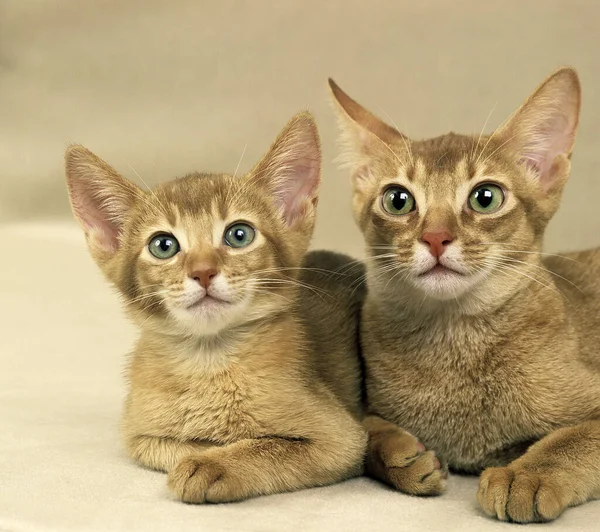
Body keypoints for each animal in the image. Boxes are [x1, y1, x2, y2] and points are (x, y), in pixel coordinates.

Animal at [64, 113, 370, 502]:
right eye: (163, 245)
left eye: (239, 235)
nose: (203, 271)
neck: (209, 363)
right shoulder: (140, 436)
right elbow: (180, 444)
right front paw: (208, 448)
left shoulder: (342, 438)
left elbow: (269, 445)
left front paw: (214, 464)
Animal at [328, 67, 600, 524]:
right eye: (397, 200)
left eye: (485, 197)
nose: (436, 237)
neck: (456, 347)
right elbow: (363, 427)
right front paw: (400, 454)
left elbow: (573, 437)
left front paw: (527, 474)